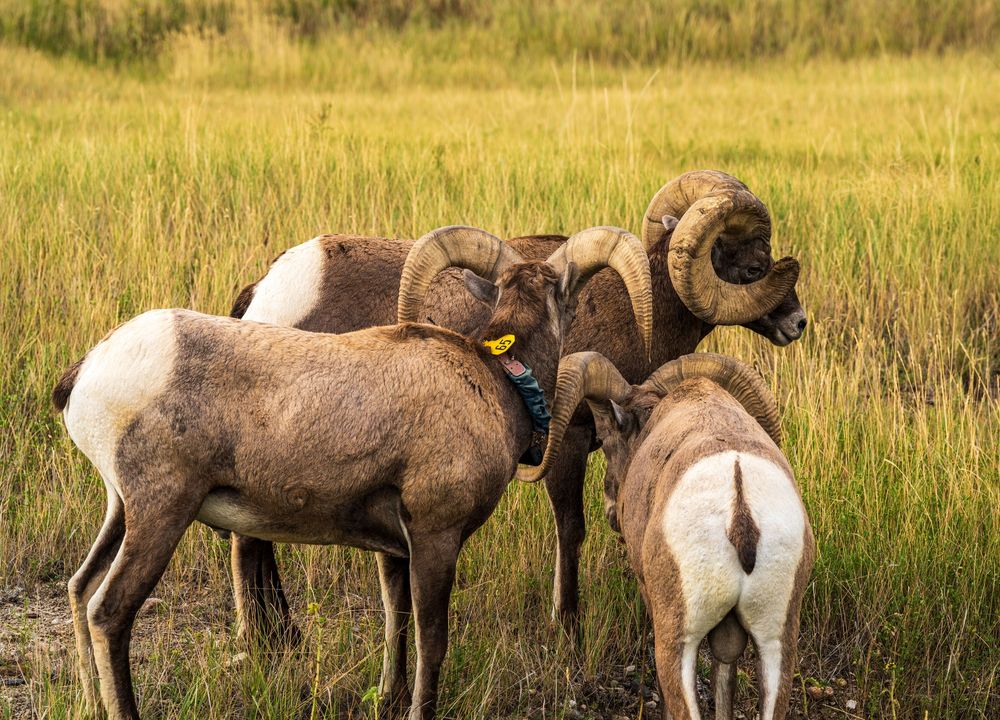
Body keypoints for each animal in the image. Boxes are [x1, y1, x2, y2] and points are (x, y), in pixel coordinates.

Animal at [53, 225, 653, 720]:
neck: (496, 379)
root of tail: (91, 368)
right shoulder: (435, 537)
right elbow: (432, 638)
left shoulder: (395, 549)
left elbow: (396, 620)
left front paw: (390, 698)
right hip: (160, 514)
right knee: (109, 613)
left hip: (121, 510)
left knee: (81, 589)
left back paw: (89, 703)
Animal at [229, 170, 808, 638]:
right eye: (753, 268)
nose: (797, 323)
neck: (634, 312)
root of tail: (268, 290)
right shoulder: (566, 443)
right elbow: (571, 531)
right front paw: (567, 623)